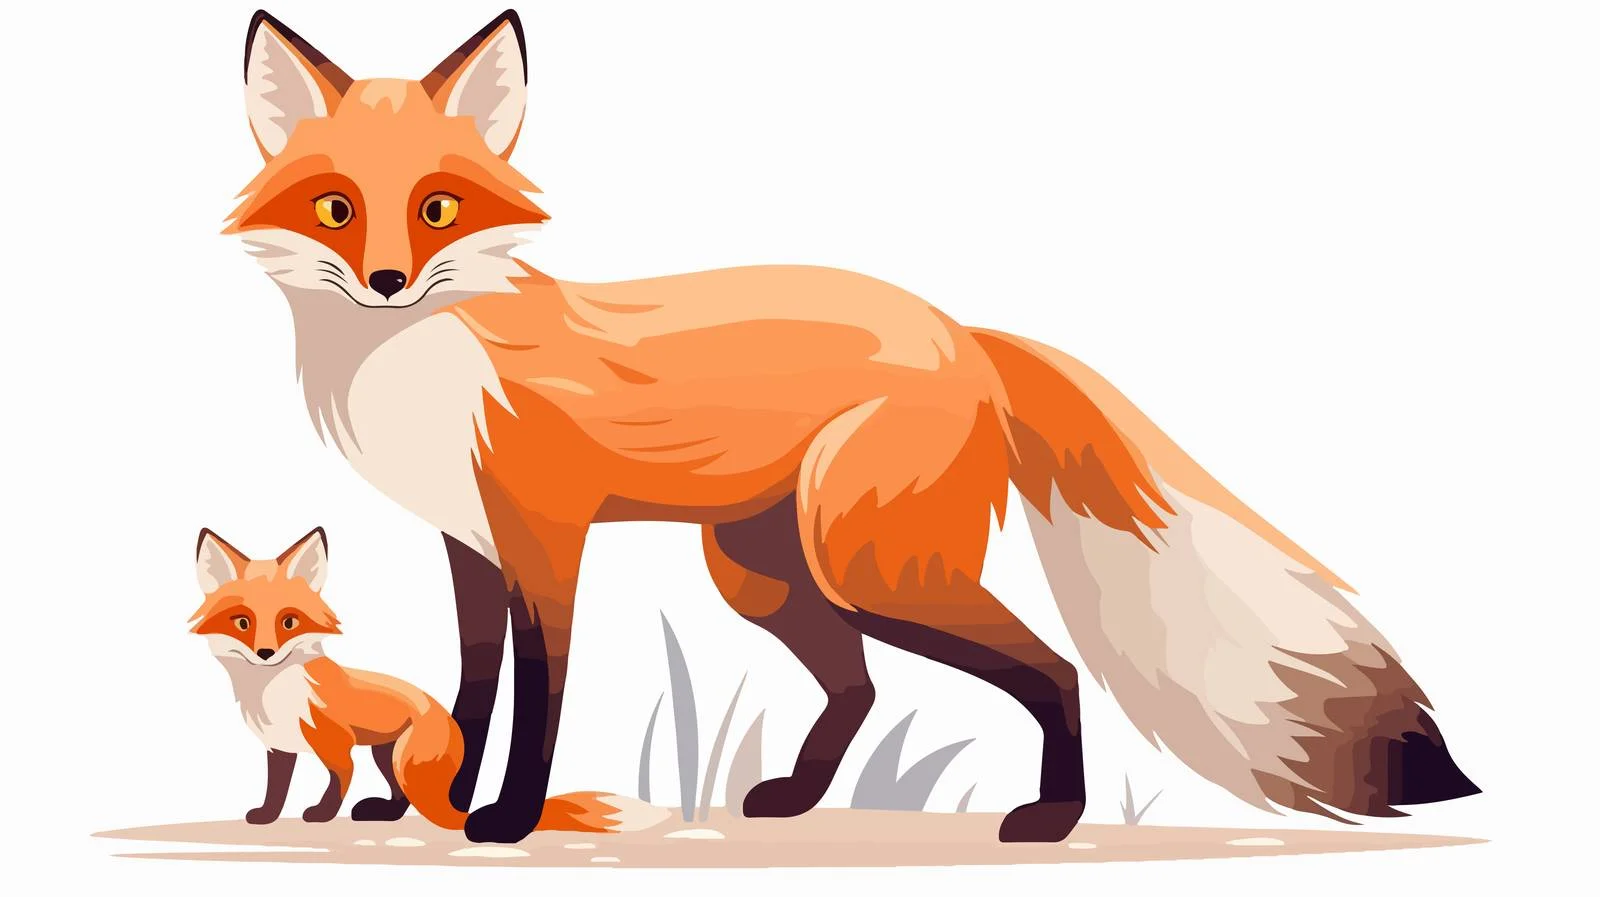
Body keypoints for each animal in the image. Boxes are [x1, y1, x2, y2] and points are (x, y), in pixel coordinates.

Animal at [190, 525, 668, 834]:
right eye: (242, 623)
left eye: (288, 622)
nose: (265, 654)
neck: (273, 694)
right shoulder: (280, 748)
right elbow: (276, 789)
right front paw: (266, 817)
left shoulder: (335, 744)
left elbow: (338, 781)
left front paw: (321, 815)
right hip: (387, 756)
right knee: (402, 797)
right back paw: (384, 813)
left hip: (399, 758)